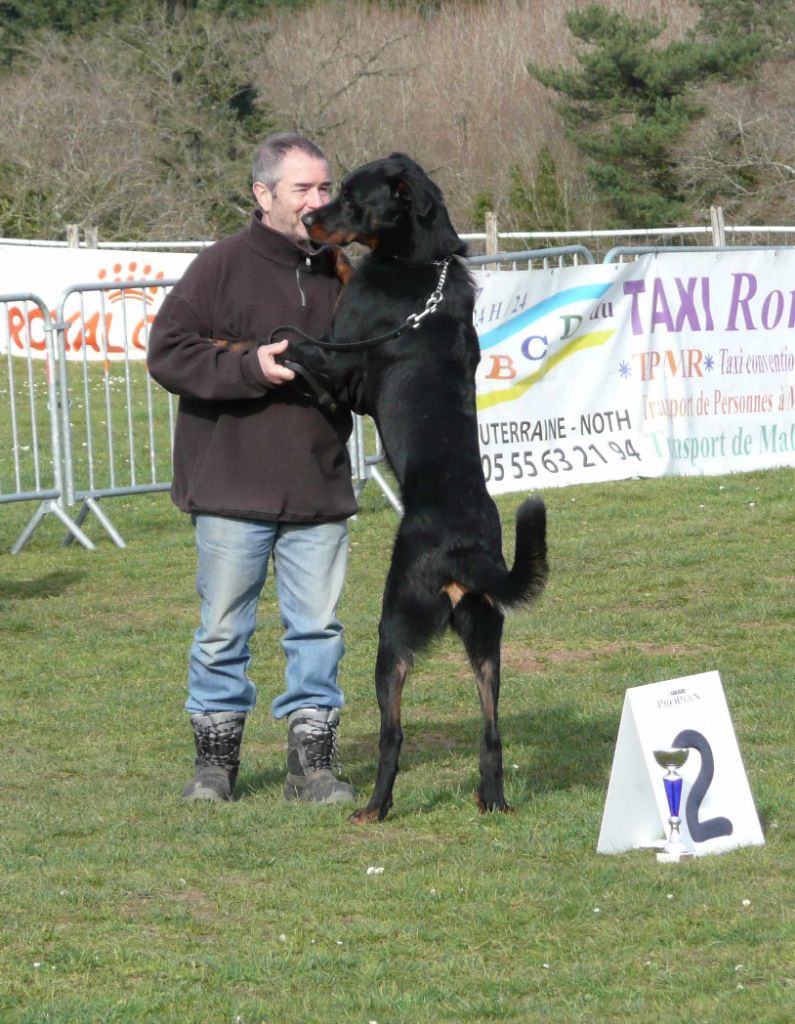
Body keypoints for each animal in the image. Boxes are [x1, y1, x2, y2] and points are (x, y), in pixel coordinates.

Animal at [278, 153, 545, 823]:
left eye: (351, 198)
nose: (311, 222)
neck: (424, 266)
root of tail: (462, 554)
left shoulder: (340, 365)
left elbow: (292, 337)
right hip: (485, 637)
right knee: (491, 730)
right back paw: (491, 799)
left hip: (393, 629)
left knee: (393, 732)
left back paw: (374, 807)